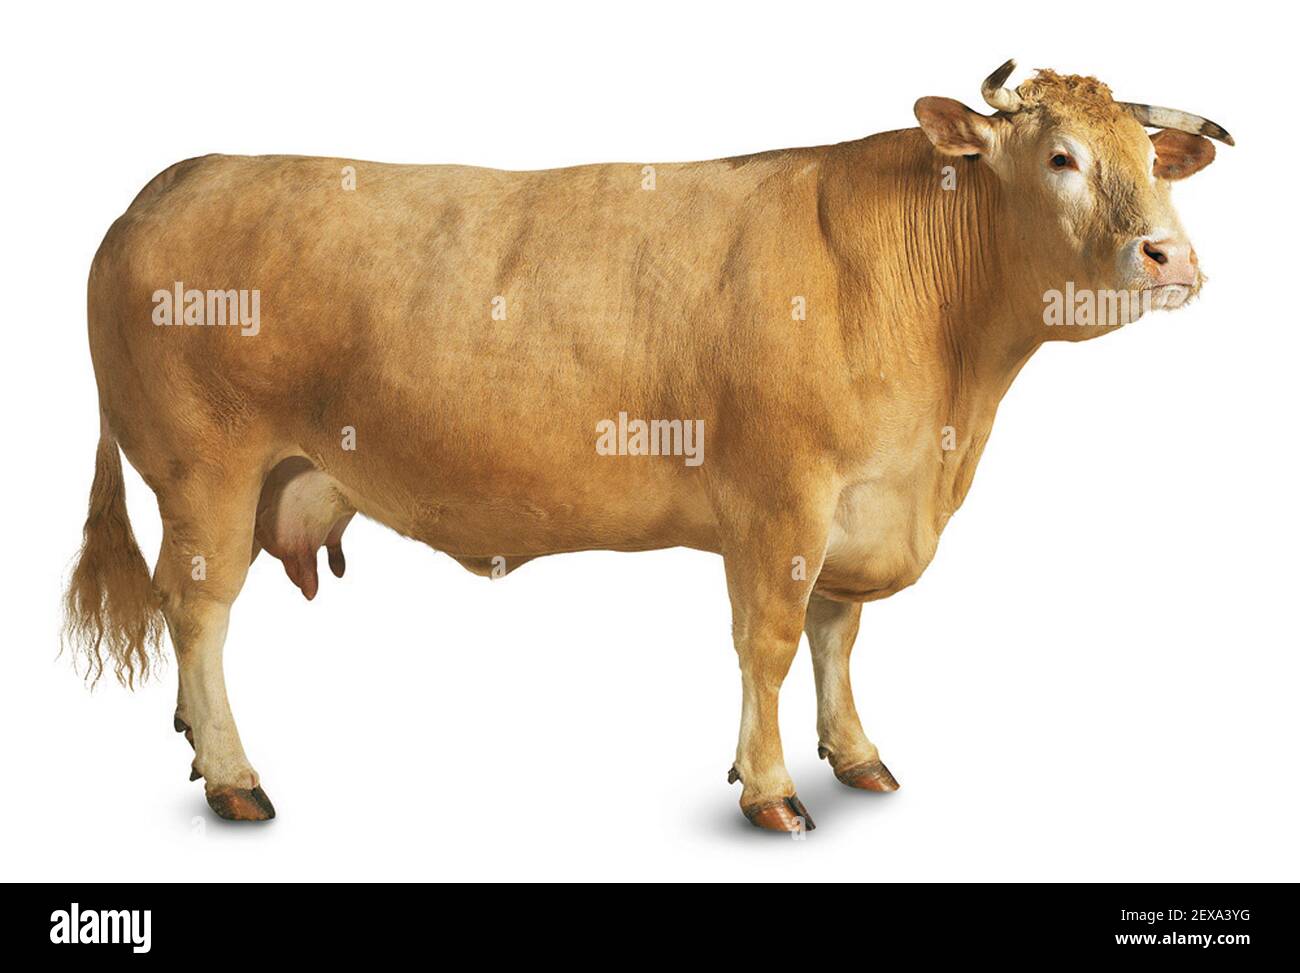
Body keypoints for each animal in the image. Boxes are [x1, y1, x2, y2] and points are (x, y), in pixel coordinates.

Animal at [64, 61, 1231, 830]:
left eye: (1150, 159)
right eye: (1061, 157)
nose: (1170, 256)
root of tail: (164, 185)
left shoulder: (862, 505)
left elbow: (838, 635)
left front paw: (856, 754)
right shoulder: (779, 503)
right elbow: (768, 643)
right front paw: (770, 790)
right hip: (205, 470)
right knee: (196, 607)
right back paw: (234, 776)